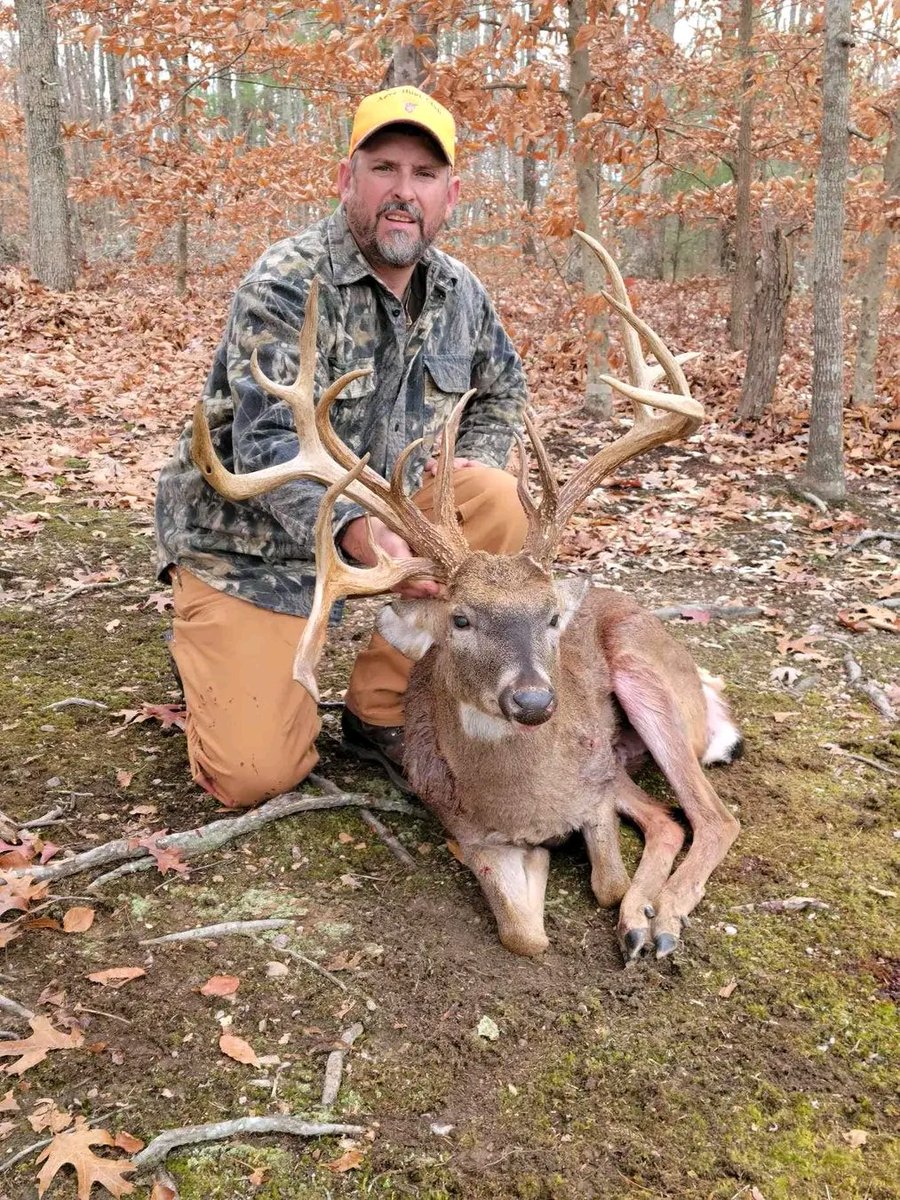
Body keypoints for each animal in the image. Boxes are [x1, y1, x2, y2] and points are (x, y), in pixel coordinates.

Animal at [191, 233, 742, 962]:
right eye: (460, 619)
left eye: (552, 617)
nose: (534, 701)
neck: (523, 802)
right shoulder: (469, 830)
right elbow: (523, 933)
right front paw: (572, 896)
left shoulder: (595, 784)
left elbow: (610, 880)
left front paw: (633, 907)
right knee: (677, 817)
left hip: (646, 678)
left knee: (710, 815)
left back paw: (660, 920)